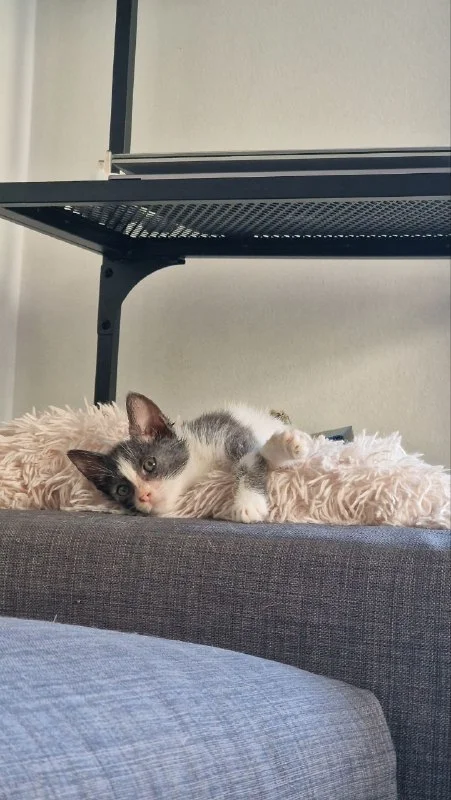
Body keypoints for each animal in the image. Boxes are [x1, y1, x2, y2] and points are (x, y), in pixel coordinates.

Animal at [68, 392, 304, 522]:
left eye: (150, 464)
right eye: (122, 490)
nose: (144, 496)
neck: (198, 470)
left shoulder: (225, 430)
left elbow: (252, 457)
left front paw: (248, 502)